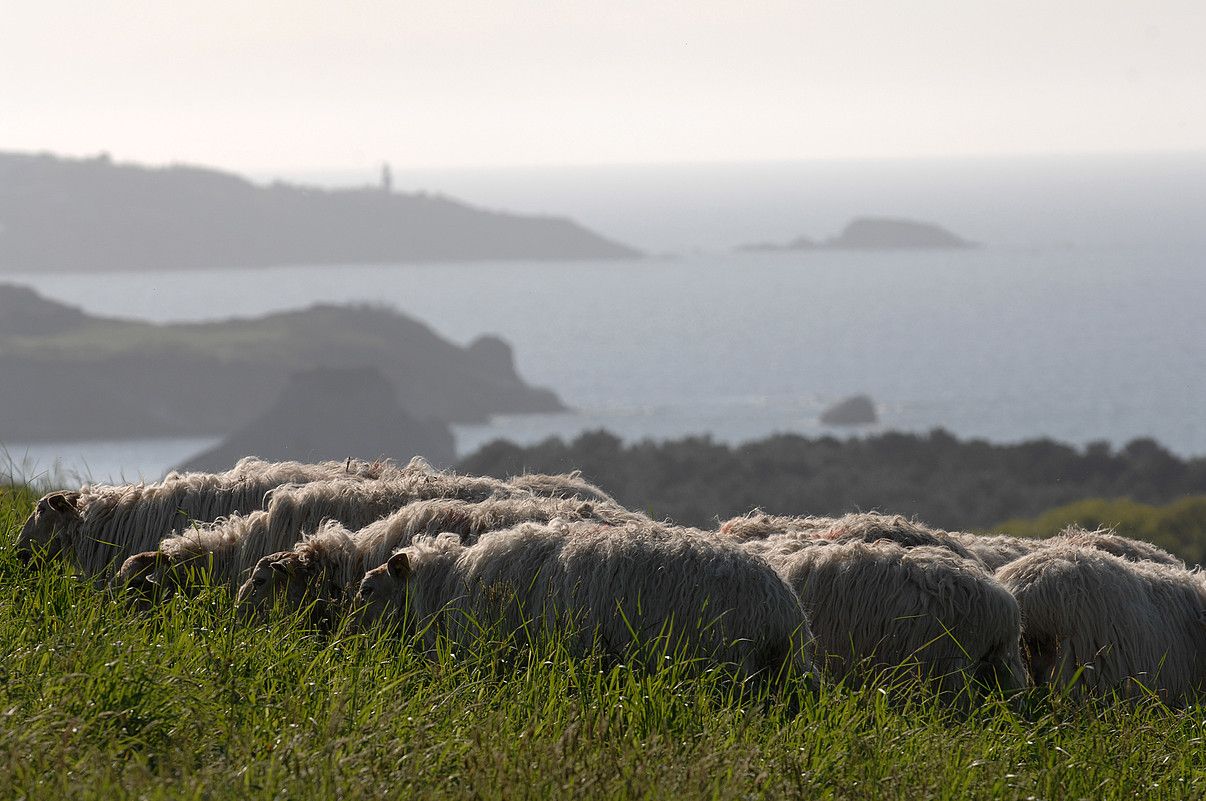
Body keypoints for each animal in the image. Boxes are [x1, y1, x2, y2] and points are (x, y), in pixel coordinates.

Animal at [352, 523, 815, 685]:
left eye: (367, 591)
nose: (348, 644)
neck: (449, 582)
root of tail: (781, 606)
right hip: (784, 672)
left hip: (728, 665)